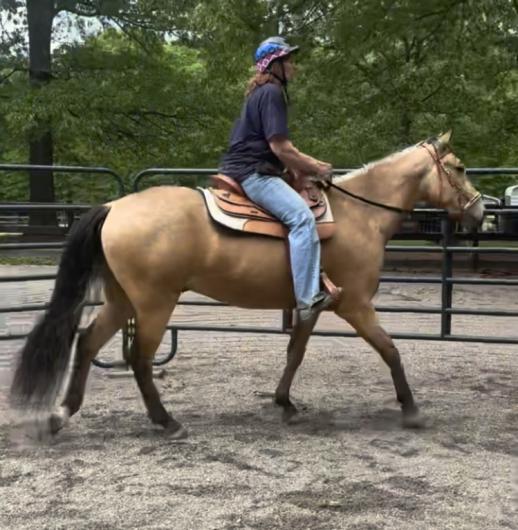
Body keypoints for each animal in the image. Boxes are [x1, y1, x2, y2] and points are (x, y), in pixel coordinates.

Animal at [9, 130, 488, 436]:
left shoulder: (311, 305)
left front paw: (285, 403)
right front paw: (411, 410)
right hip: (154, 304)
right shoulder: (355, 305)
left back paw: (62, 414)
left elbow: (295, 353)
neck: (361, 215)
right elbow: (391, 351)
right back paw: (166, 422)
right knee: (140, 359)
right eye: (460, 166)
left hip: (122, 300)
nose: (481, 211)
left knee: (87, 341)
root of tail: (114, 206)